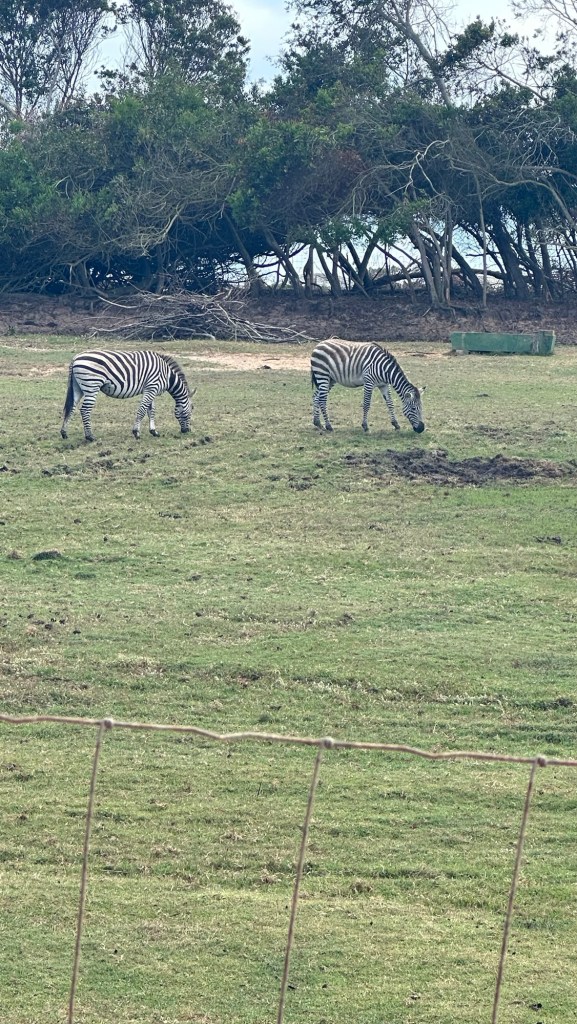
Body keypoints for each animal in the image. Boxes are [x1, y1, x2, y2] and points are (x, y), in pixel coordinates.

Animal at [60, 350, 195, 441]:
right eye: (191, 410)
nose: (187, 431)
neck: (167, 375)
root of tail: (75, 358)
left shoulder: (150, 389)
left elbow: (151, 411)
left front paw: (154, 431)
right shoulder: (152, 387)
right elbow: (142, 410)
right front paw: (136, 432)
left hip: (78, 387)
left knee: (71, 408)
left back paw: (64, 433)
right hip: (92, 385)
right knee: (85, 410)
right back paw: (90, 436)